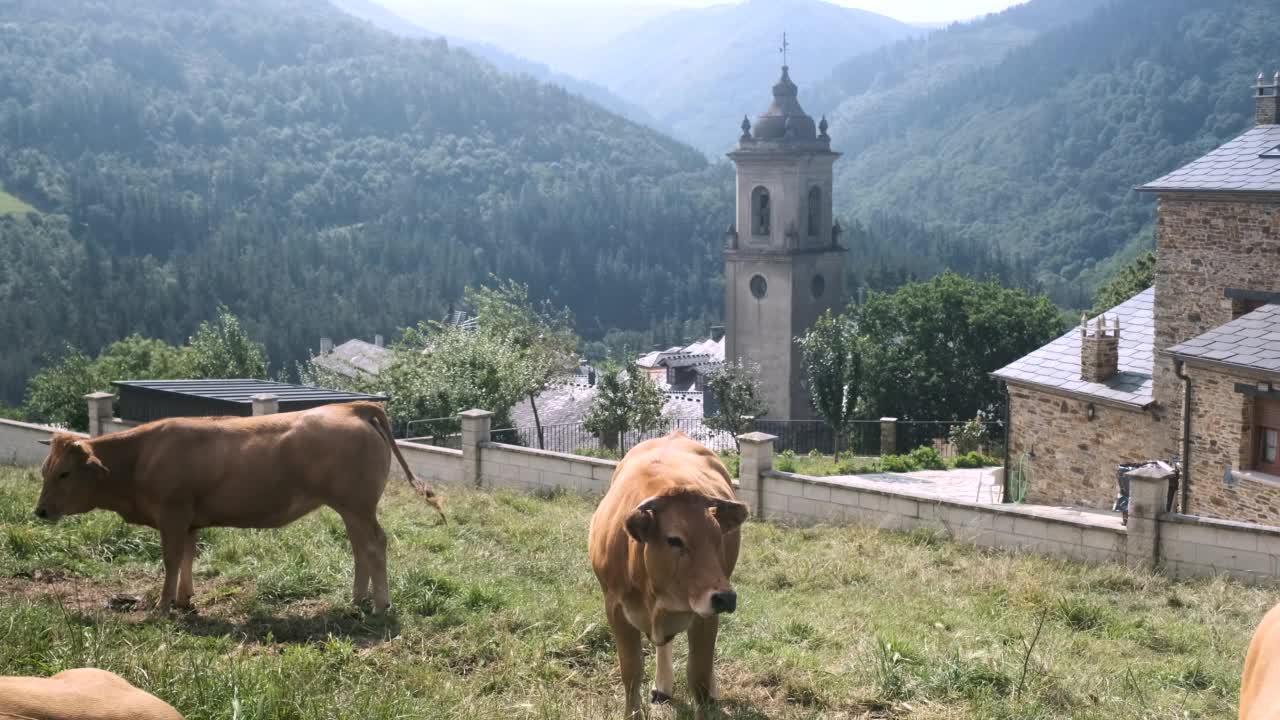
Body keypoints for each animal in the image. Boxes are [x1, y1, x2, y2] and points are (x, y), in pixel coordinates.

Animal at [35, 397, 445, 609]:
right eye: (44, 470)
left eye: (64, 474)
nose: (39, 510)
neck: (140, 457)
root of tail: (352, 407)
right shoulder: (189, 520)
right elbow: (188, 556)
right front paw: (184, 600)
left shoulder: (172, 514)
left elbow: (170, 560)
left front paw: (164, 605)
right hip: (351, 508)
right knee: (361, 547)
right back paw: (358, 598)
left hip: (357, 505)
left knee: (374, 545)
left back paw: (379, 603)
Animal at [586, 427, 747, 712]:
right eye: (674, 540)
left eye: (718, 537)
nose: (725, 598)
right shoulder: (614, 608)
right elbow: (631, 671)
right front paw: (633, 713)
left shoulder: (705, 615)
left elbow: (699, 675)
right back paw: (662, 687)